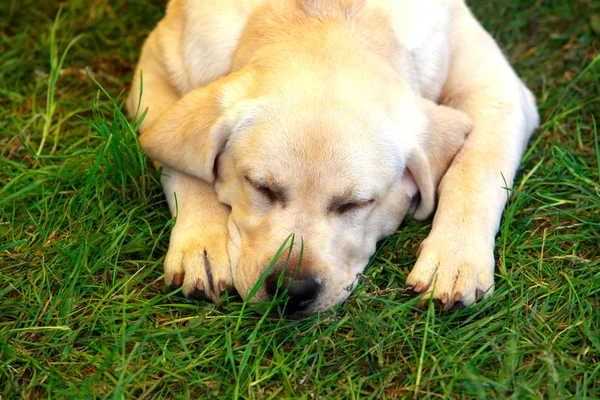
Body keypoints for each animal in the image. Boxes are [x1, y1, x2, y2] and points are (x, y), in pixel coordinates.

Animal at [126, 0, 540, 318]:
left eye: (356, 204)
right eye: (260, 187)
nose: (290, 292)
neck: (325, 12)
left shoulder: (497, 90)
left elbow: (475, 170)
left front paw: (455, 258)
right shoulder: (155, 67)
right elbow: (184, 167)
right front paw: (202, 244)